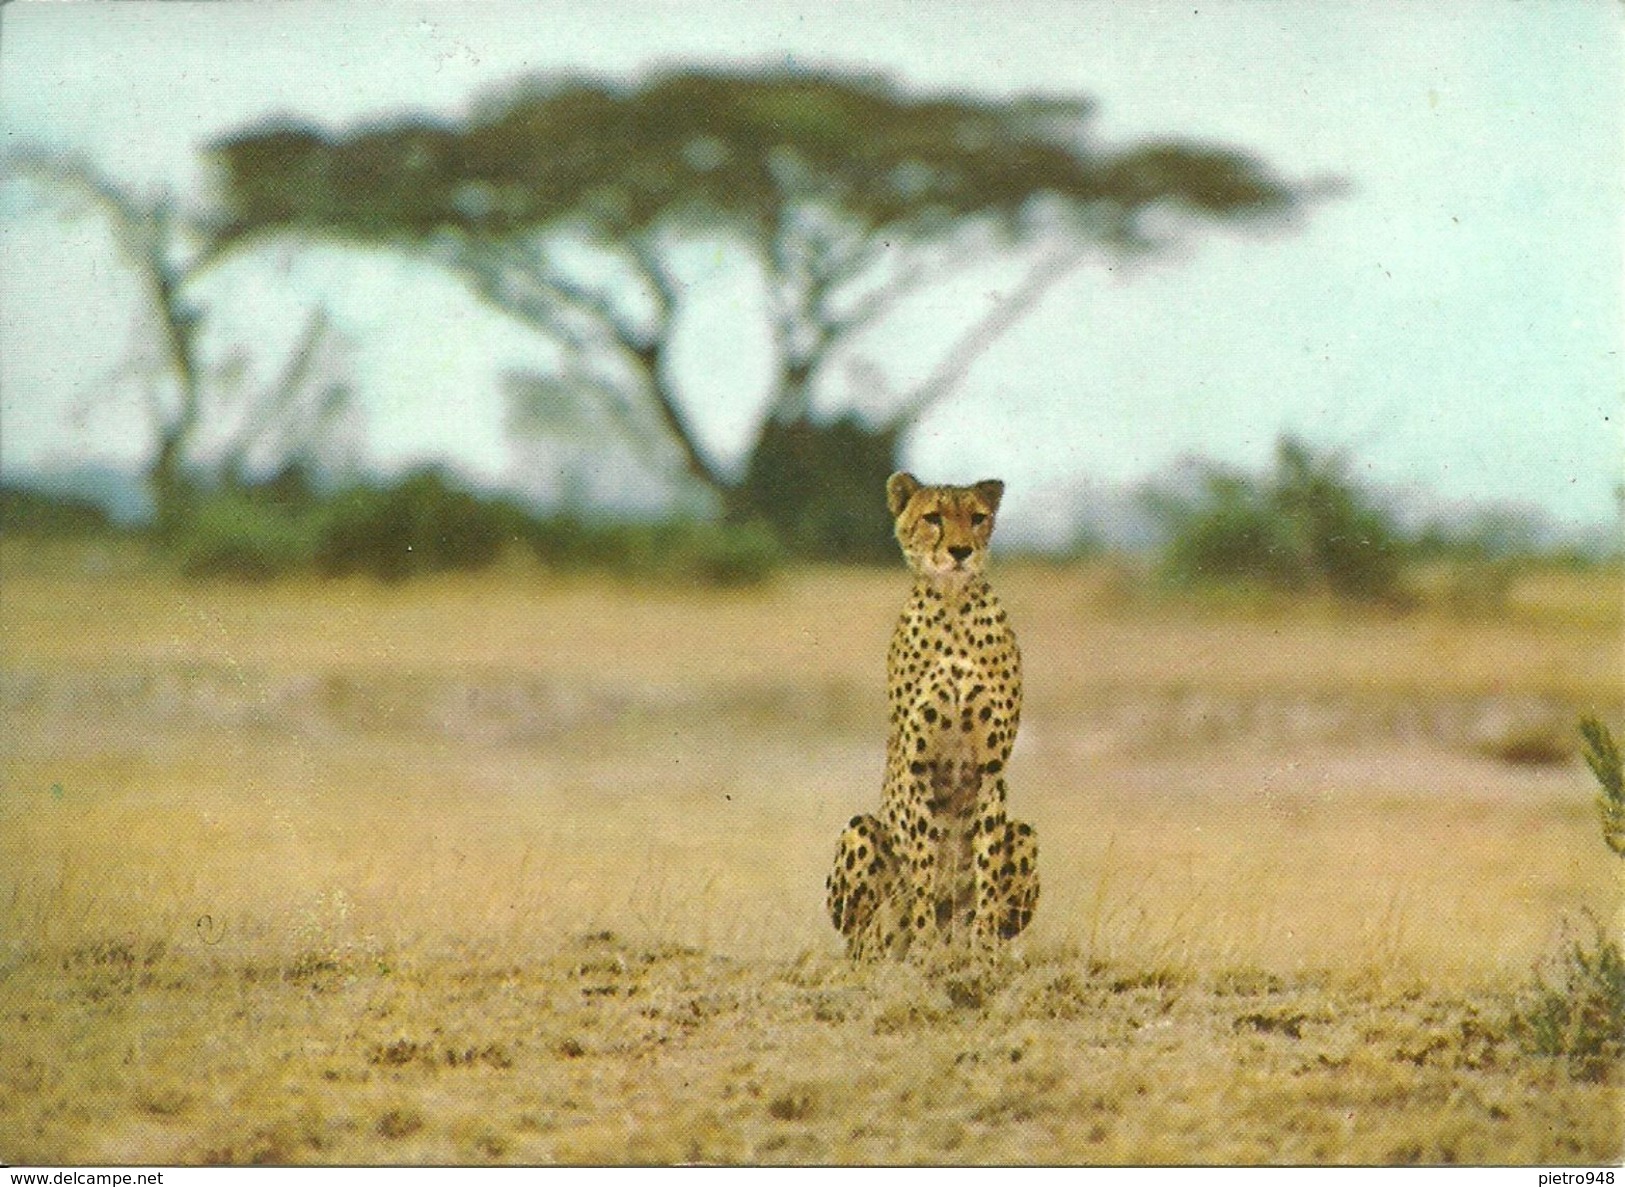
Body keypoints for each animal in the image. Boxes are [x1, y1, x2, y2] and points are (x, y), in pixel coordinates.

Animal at [825, 468, 1040, 956]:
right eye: (933, 518)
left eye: (977, 518)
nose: (961, 551)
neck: (954, 606)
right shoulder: (918, 766)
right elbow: (922, 866)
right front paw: (923, 948)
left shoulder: (990, 769)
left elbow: (985, 867)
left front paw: (982, 951)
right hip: (860, 830)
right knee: (864, 935)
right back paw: (889, 948)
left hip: (1025, 833)